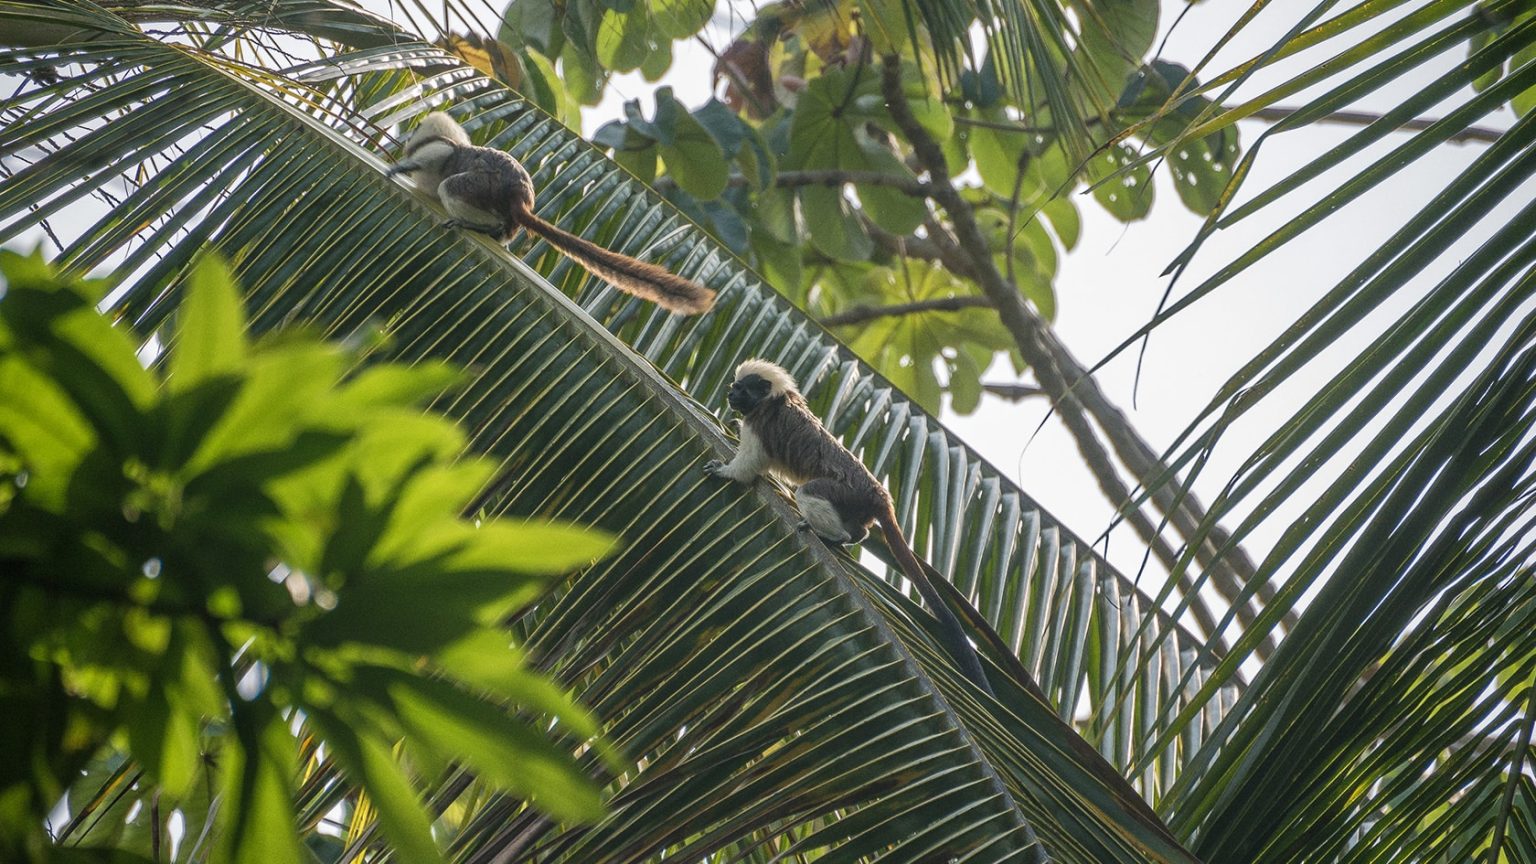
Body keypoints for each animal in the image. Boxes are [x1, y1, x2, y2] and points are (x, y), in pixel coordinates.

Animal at [386, 111, 715, 315]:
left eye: (415, 133)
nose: (407, 139)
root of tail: (519, 196)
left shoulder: (442, 150)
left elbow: (432, 160)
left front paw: (401, 167)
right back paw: (497, 234)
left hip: (484, 186)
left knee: (451, 187)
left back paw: (485, 227)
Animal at [705, 359, 994, 695]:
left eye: (741, 389)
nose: (730, 396)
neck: (773, 400)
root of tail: (880, 495)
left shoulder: (761, 424)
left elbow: (749, 466)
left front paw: (725, 471)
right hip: (858, 506)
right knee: (858, 526)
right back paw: (854, 535)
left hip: (848, 493)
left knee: (809, 491)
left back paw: (833, 535)